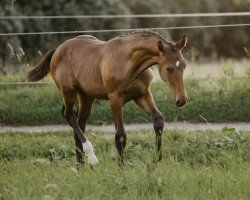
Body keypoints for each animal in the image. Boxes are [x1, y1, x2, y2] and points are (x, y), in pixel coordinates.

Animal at [27, 30, 188, 167]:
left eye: (184, 65)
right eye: (168, 68)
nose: (181, 100)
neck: (129, 61)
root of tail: (58, 50)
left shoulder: (142, 94)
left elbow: (158, 120)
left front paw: (155, 161)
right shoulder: (115, 99)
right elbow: (120, 135)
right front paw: (121, 170)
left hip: (87, 97)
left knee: (79, 123)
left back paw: (81, 168)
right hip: (69, 93)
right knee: (69, 116)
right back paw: (92, 158)